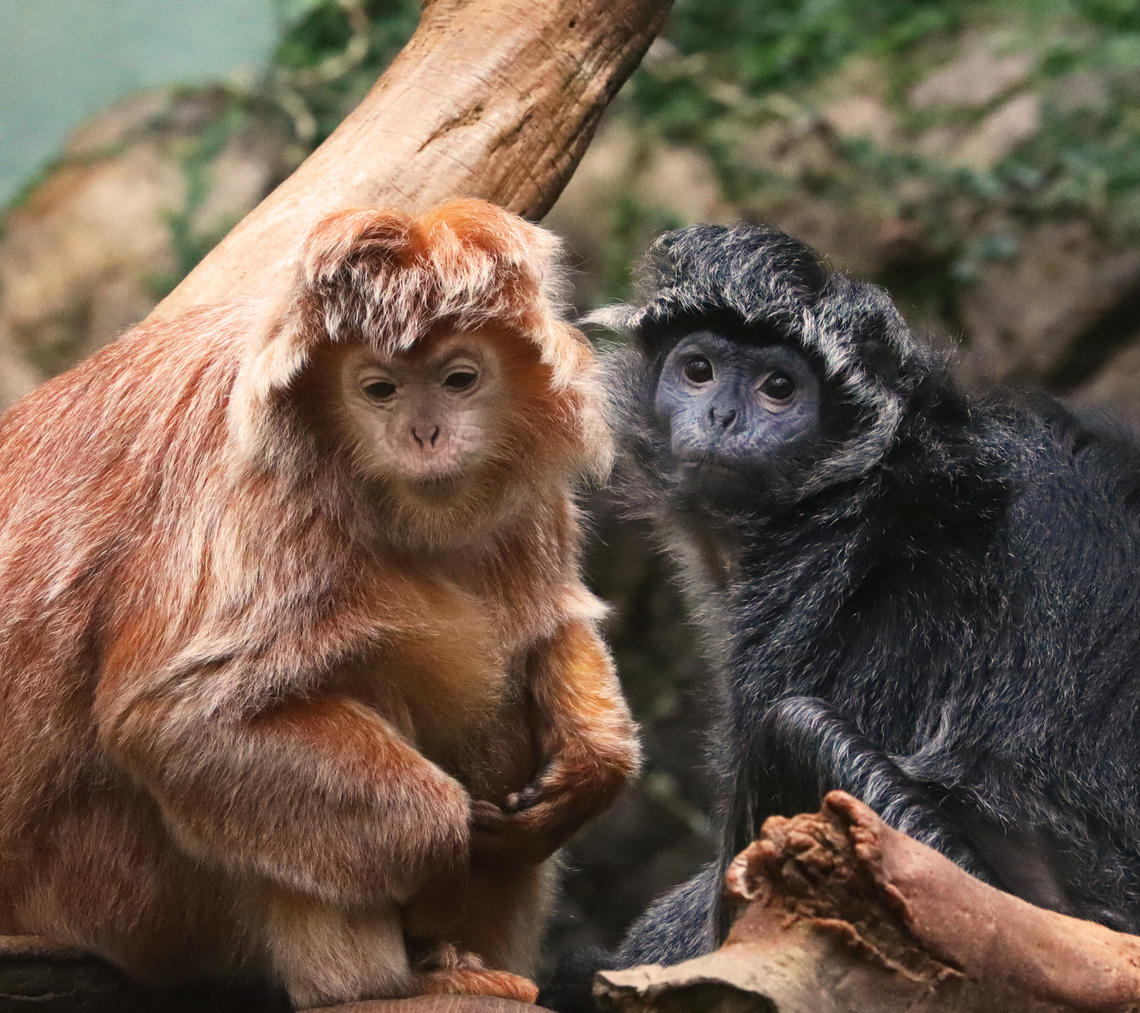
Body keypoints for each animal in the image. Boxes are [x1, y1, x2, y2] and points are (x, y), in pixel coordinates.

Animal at [0, 199, 640, 1009]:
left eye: (459, 378)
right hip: (111, 897)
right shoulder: (250, 490)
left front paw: (595, 764)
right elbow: (178, 720)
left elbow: (553, 623)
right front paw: (440, 867)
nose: (424, 434)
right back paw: (385, 982)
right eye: (379, 391)